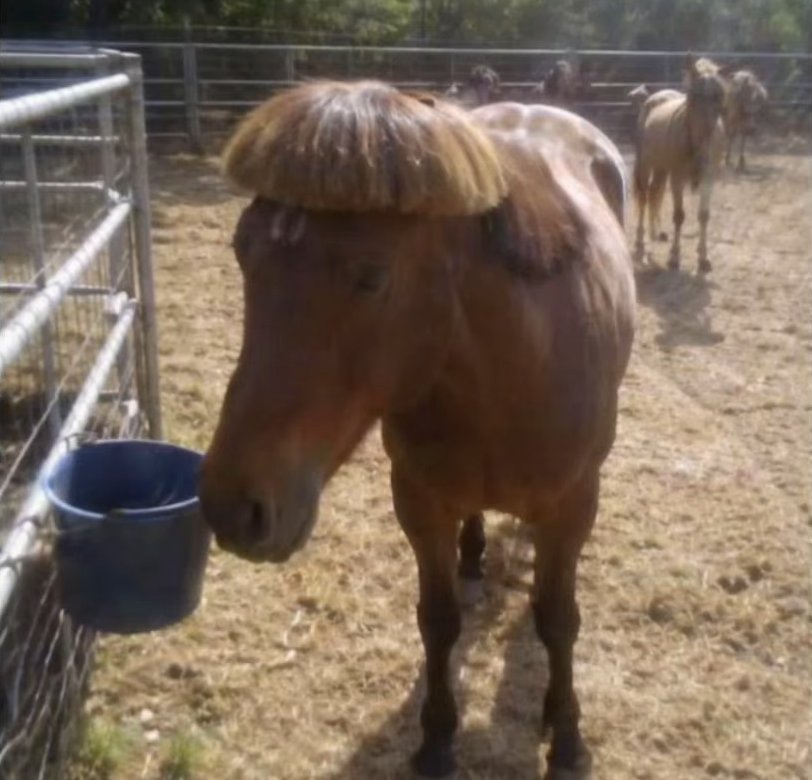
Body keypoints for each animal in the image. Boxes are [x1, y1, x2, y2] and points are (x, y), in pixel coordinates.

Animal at [199, 80, 636, 780]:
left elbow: (557, 619)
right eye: (243, 250)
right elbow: (438, 620)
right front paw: (435, 740)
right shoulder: (419, 502)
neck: (514, 366)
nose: (234, 507)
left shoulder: (573, 506)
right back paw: (474, 552)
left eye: (372, 274)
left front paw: (566, 737)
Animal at [633, 55, 728, 273]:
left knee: (654, 193)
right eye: (693, 97)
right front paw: (674, 257)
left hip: (661, 167)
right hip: (646, 164)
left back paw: (656, 233)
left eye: (718, 96)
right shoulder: (677, 178)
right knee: (644, 197)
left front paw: (703, 258)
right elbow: (679, 216)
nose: (703, 152)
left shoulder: (708, 179)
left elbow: (704, 215)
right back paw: (641, 242)